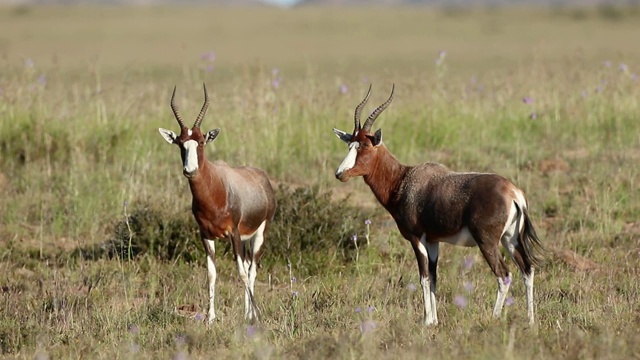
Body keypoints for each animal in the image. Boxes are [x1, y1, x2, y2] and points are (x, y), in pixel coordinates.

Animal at [159, 84, 276, 324]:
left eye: (202, 141)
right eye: (180, 144)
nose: (190, 170)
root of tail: (262, 178)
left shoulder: (234, 234)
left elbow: (242, 274)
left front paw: (254, 316)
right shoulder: (205, 235)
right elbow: (211, 273)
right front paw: (210, 318)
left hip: (260, 233)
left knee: (251, 271)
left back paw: (251, 315)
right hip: (246, 239)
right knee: (248, 266)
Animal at [332, 85, 544, 326]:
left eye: (365, 146)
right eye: (350, 144)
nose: (340, 173)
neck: (404, 179)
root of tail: (513, 192)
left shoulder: (417, 238)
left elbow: (424, 277)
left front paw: (426, 321)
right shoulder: (433, 241)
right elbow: (433, 278)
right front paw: (433, 320)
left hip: (488, 242)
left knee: (504, 275)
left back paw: (494, 317)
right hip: (511, 239)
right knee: (527, 269)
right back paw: (530, 320)